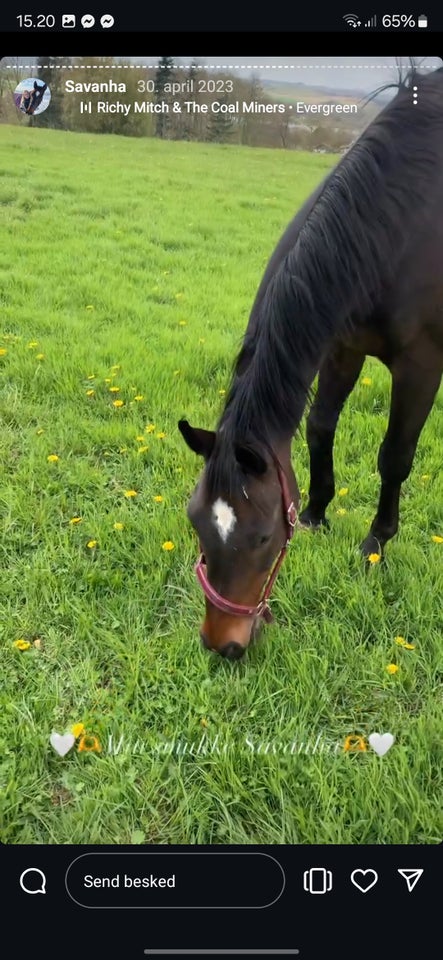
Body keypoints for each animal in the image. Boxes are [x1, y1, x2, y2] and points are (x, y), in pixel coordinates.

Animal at [179, 67, 443, 660]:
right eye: (196, 523)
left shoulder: (421, 365)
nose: (221, 644)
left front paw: (375, 545)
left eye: (262, 537)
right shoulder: (342, 346)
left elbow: (395, 457)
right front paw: (318, 512)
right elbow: (321, 426)